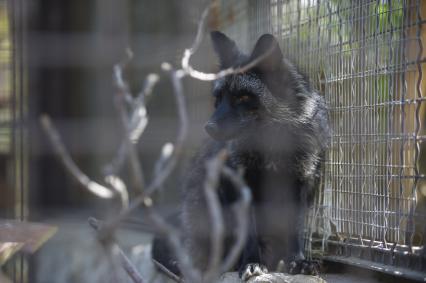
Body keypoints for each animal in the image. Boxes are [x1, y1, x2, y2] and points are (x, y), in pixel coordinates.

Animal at [152, 32, 330, 280]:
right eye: (218, 99)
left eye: (243, 98)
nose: (209, 128)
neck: (272, 149)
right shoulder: (241, 187)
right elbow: (249, 233)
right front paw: (252, 262)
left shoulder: (300, 183)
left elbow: (295, 229)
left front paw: (298, 261)